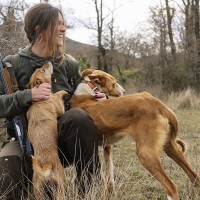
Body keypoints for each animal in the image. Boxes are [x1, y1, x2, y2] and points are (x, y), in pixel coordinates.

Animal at [26, 61, 68, 199]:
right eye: (43, 70)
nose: (47, 61)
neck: (38, 101)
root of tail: (46, 164)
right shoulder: (59, 107)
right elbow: (58, 94)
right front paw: (64, 91)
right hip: (60, 186)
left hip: (38, 190)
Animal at [69, 69, 200, 200]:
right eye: (115, 83)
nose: (124, 91)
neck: (88, 90)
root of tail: (158, 104)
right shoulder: (107, 146)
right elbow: (109, 174)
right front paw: (109, 194)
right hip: (170, 147)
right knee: (195, 178)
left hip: (145, 154)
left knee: (171, 187)